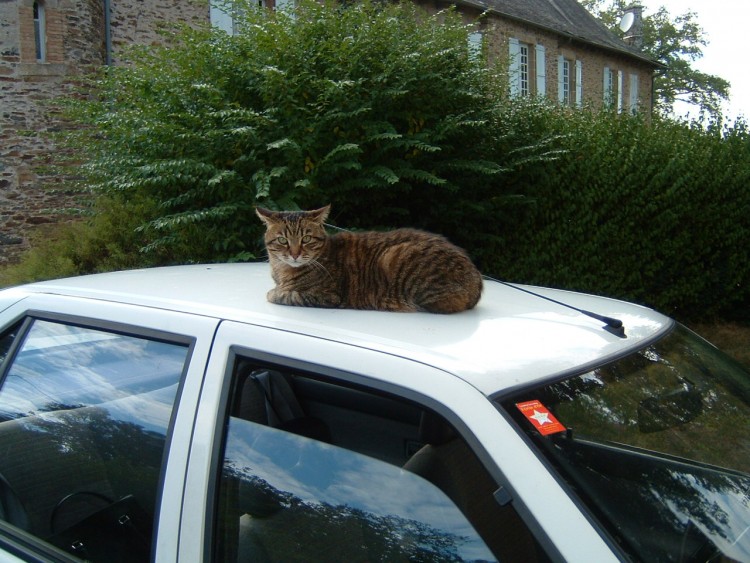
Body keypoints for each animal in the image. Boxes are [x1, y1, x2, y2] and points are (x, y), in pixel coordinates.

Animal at [256, 206, 484, 316]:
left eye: (306, 239)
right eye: (283, 240)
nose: (295, 254)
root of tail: (476, 277)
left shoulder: (327, 297)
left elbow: (286, 295)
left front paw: (275, 292)